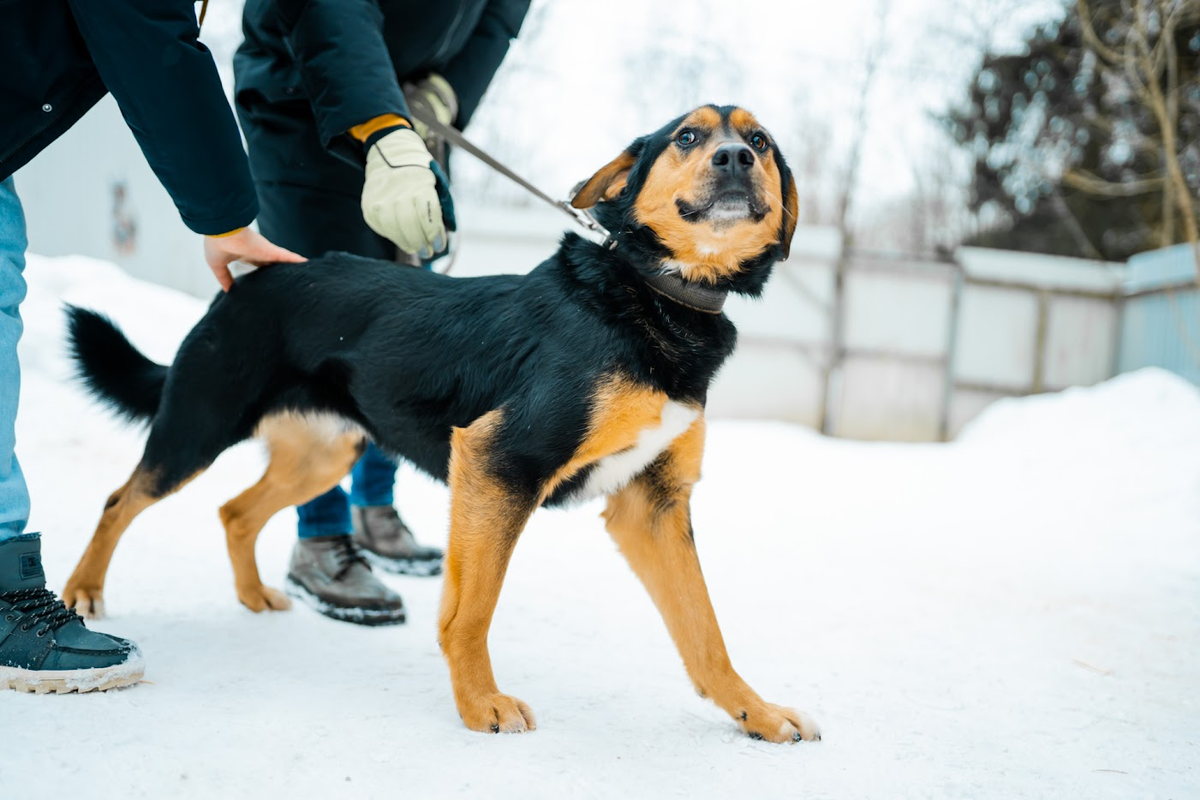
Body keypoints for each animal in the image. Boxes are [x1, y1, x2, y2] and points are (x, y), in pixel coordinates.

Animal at [60, 106, 820, 743]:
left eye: (760, 142)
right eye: (688, 136)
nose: (734, 158)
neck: (657, 296)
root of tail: (248, 279)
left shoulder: (653, 506)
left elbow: (705, 631)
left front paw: (756, 713)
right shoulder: (498, 462)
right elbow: (471, 610)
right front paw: (480, 704)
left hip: (324, 456)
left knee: (235, 512)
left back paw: (251, 596)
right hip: (198, 425)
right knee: (120, 499)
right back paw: (84, 592)